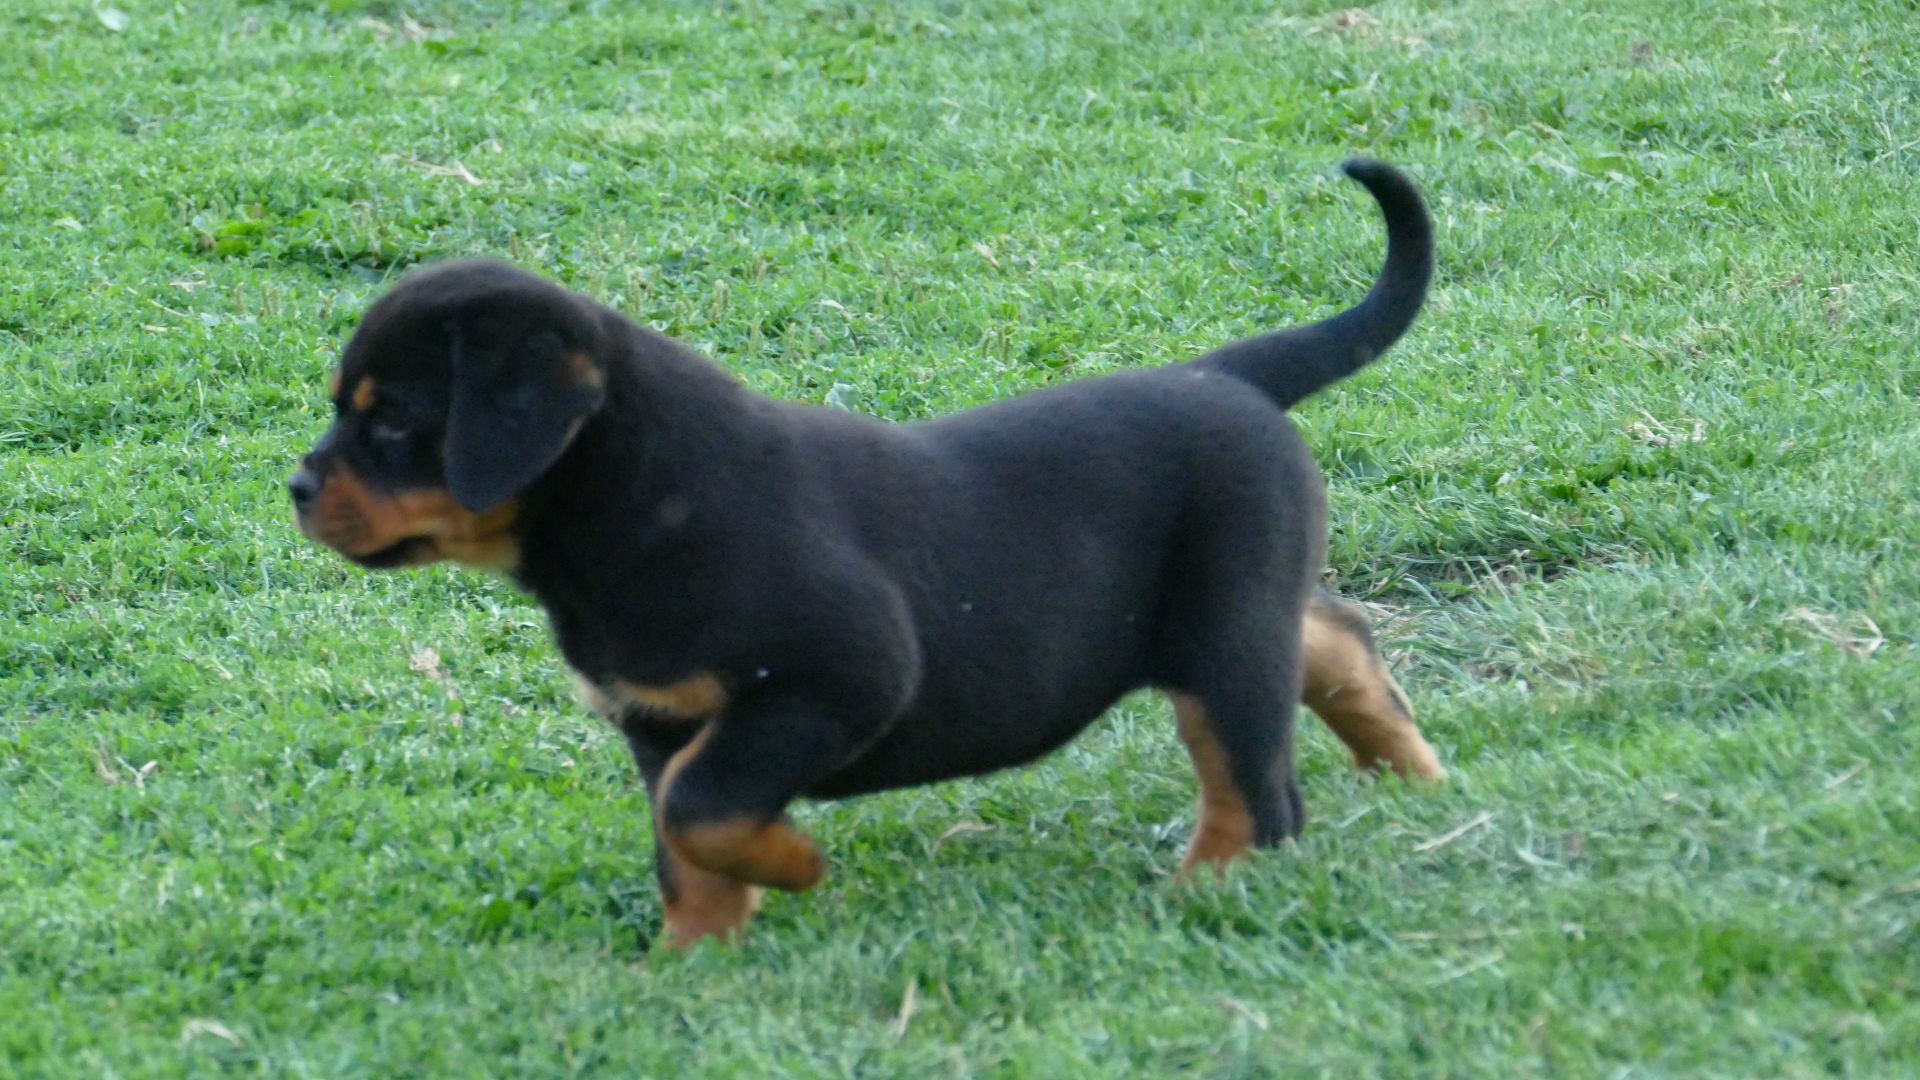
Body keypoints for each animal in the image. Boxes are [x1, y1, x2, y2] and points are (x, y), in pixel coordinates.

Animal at [291, 159, 1445, 948]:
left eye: (391, 423)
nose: (296, 488)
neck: (621, 511)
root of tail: (1226, 377)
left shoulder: (839, 677)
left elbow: (702, 809)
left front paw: (796, 866)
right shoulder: (660, 721)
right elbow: (683, 841)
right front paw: (694, 959)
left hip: (1219, 633)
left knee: (1256, 790)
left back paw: (1203, 890)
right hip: (1237, 610)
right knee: (1333, 637)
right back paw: (1410, 768)